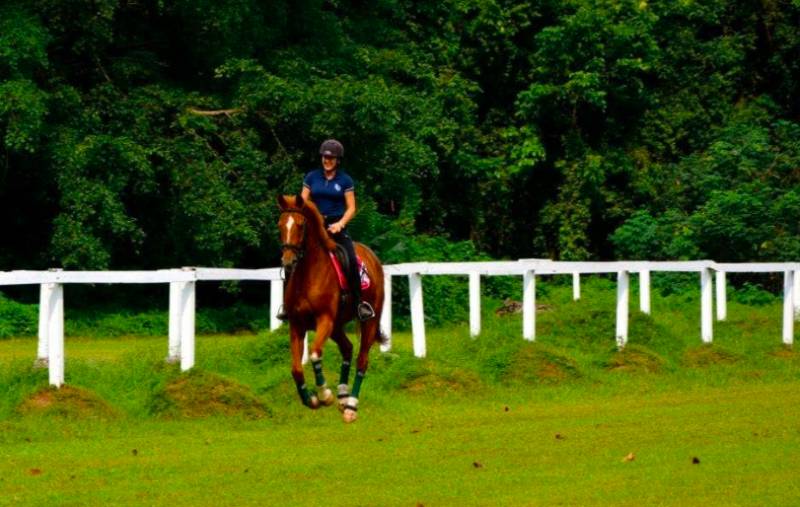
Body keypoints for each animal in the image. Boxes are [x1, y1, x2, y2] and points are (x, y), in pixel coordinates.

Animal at [276, 195, 386, 424]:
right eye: (280, 225)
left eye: (300, 225)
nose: (288, 262)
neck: (308, 274)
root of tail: (371, 256)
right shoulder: (297, 325)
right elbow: (296, 368)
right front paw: (310, 399)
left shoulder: (324, 319)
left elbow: (314, 353)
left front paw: (324, 394)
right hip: (336, 327)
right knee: (347, 348)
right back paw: (342, 395)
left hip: (368, 322)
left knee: (362, 360)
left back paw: (351, 406)